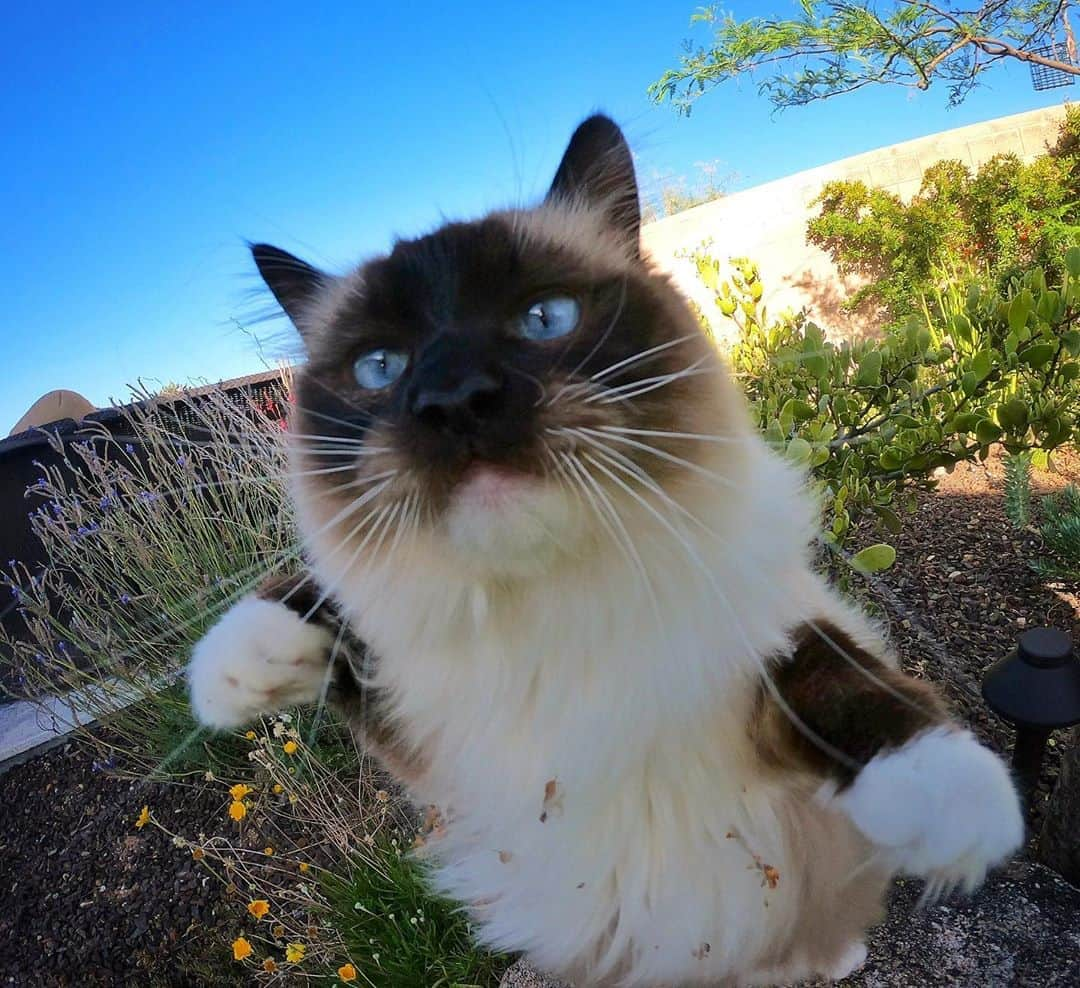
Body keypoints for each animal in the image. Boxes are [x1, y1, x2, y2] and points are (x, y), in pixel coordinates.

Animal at [185, 117, 1019, 988]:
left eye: (545, 318)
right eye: (381, 367)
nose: (455, 400)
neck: (551, 612)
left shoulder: (765, 641)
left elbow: (834, 676)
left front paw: (954, 798)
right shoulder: (434, 755)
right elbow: (312, 610)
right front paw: (232, 675)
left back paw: (835, 953)